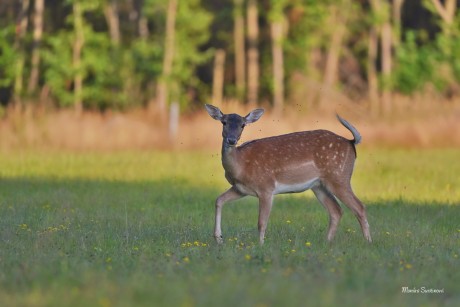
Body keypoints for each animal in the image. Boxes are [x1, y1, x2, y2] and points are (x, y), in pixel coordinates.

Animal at [207, 104, 372, 244]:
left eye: (242, 125)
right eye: (224, 122)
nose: (232, 140)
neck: (241, 166)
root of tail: (351, 142)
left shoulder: (266, 187)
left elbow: (261, 222)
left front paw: (260, 245)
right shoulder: (240, 189)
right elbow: (218, 200)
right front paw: (218, 238)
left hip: (339, 176)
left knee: (359, 207)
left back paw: (368, 242)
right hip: (319, 185)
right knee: (336, 210)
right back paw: (327, 242)